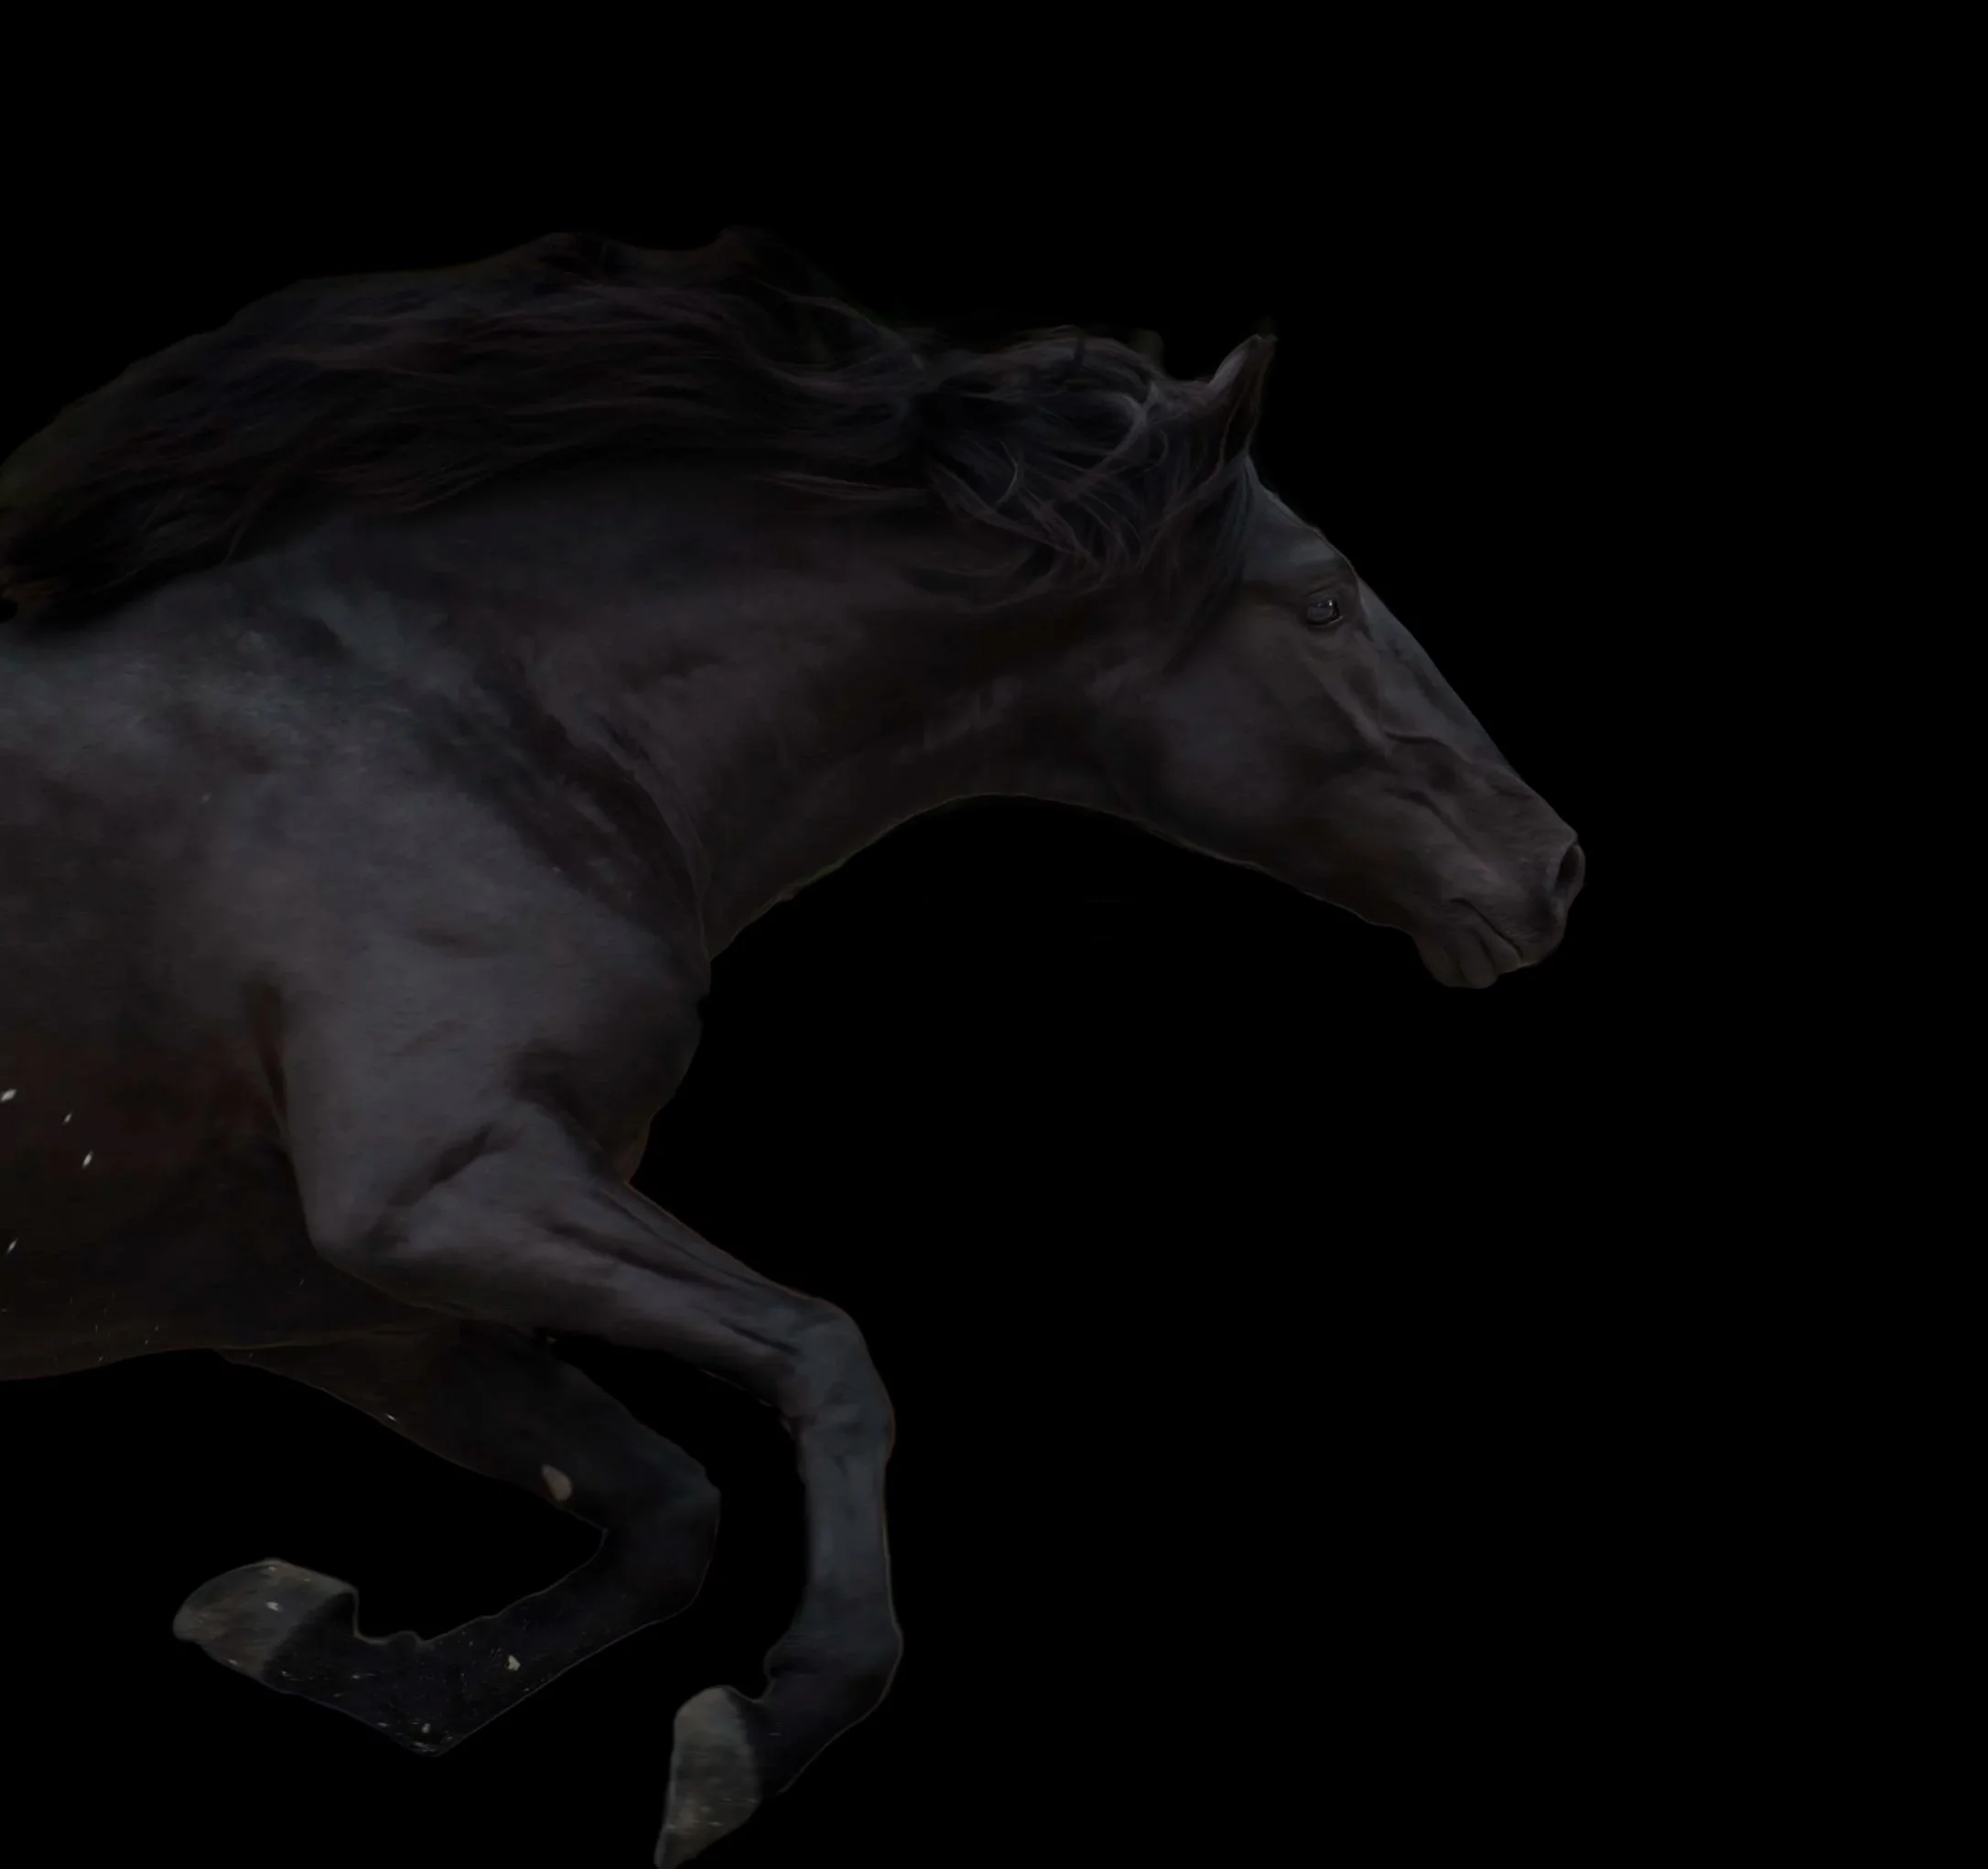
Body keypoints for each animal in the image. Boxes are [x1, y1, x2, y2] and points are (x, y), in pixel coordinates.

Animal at [0, 228, 1585, 1864]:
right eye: (1326, 601)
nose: (1551, 869)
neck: (466, 720)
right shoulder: (443, 1186)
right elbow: (828, 1356)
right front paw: (765, 1731)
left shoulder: (348, 1306)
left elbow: (661, 1509)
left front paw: (312, 1634)